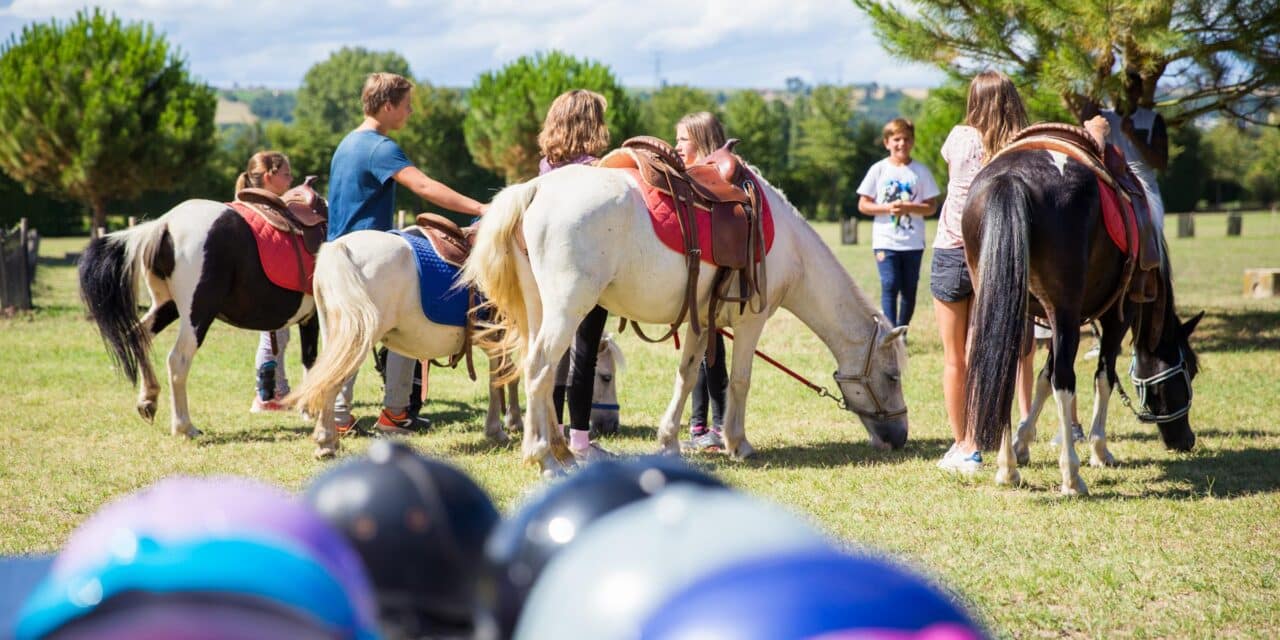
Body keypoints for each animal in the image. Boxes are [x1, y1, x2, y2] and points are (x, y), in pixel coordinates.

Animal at [80, 202, 317, 437]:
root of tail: (164, 224)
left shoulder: (309, 319)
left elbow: (310, 359)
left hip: (167, 306)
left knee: (138, 336)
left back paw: (148, 399)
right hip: (198, 314)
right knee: (177, 360)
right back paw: (184, 427)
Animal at [460, 165, 911, 476]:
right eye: (892, 377)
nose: (900, 439)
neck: (789, 245)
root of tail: (536, 189)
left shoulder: (701, 323)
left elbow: (688, 375)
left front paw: (669, 442)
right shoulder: (751, 321)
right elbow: (740, 380)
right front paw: (738, 443)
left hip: (541, 310)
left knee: (544, 370)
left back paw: (561, 451)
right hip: (568, 309)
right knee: (538, 369)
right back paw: (543, 458)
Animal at [962, 131, 1203, 494]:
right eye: (1189, 367)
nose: (1186, 441)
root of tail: (1011, 177)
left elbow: (1042, 378)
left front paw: (1021, 443)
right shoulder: (1116, 316)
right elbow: (1102, 377)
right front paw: (1099, 450)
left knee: (1003, 368)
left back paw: (1007, 469)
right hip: (1064, 309)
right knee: (1065, 379)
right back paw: (1071, 476)